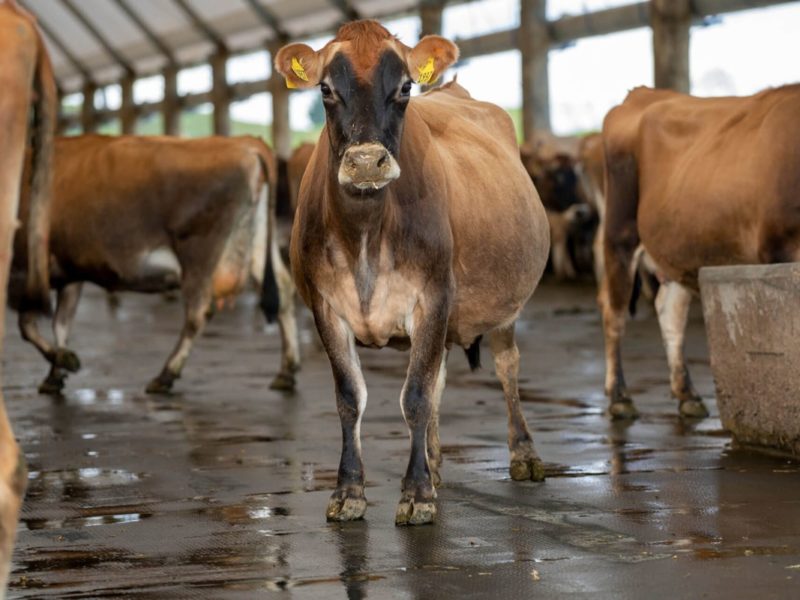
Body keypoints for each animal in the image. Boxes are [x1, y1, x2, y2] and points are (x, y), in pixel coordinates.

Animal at [14, 135, 300, 396]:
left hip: (199, 251)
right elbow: (61, 325)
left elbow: (27, 326)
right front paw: (56, 372)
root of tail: (245, 142)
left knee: (198, 312)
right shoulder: (71, 271)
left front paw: (64, 361)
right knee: (284, 292)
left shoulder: (29, 270)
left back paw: (165, 375)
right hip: (256, 245)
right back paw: (286, 371)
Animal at [275, 20, 550, 526]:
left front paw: (417, 493)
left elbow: (416, 395)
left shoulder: (434, 297)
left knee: (506, 366)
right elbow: (351, 397)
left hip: (504, 305)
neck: (365, 234)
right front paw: (350, 490)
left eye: (405, 87)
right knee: (440, 376)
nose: (366, 161)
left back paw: (523, 454)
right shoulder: (325, 307)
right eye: (325, 88)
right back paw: (436, 462)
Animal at [599, 84, 800, 420]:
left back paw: (688, 394)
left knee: (669, 309)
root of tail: (642, 93)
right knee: (613, 313)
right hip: (620, 233)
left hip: (677, 250)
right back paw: (619, 397)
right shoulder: (780, 251)